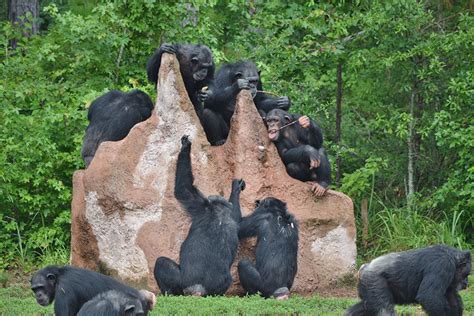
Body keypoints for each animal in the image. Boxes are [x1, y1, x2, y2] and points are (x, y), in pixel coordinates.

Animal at [155, 135, 246, 296]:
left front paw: (186, 147)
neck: (219, 213)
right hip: (219, 285)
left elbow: (183, 188)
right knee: (227, 281)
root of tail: (198, 289)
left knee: (161, 263)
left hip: (181, 282)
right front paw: (236, 188)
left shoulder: (199, 205)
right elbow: (236, 215)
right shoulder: (233, 223)